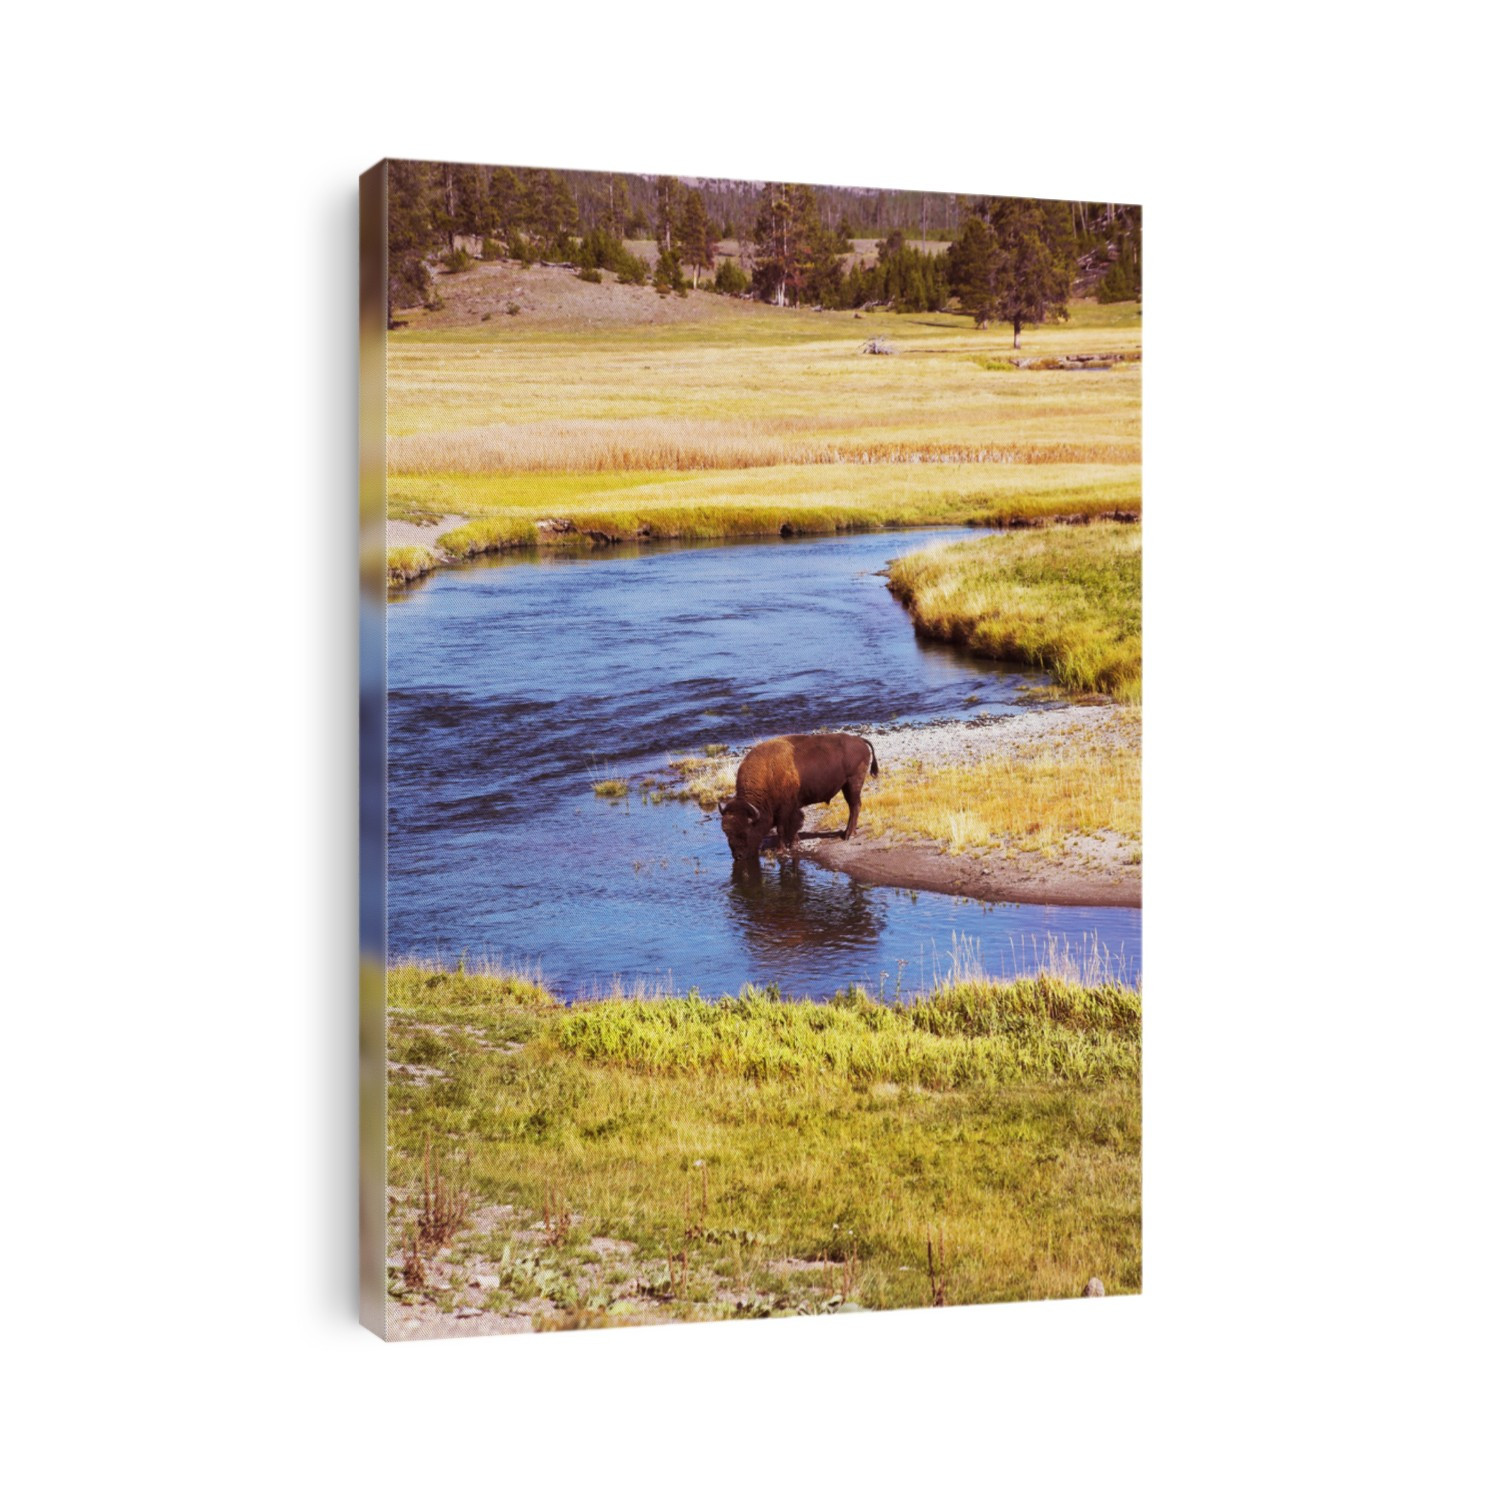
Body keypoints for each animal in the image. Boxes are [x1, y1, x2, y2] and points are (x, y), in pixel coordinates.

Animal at [718, 733, 878, 862]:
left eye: (745, 831)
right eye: (726, 832)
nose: (738, 856)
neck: (768, 774)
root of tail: (859, 740)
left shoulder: (785, 809)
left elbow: (782, 828)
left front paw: (781, 849)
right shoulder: (791, 808)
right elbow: (792, 826)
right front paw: (794, 843)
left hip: (853, 783)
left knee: (855, 806)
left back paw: (849, 835)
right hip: (846, 786)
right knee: (853, 807)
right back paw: (847, 832)